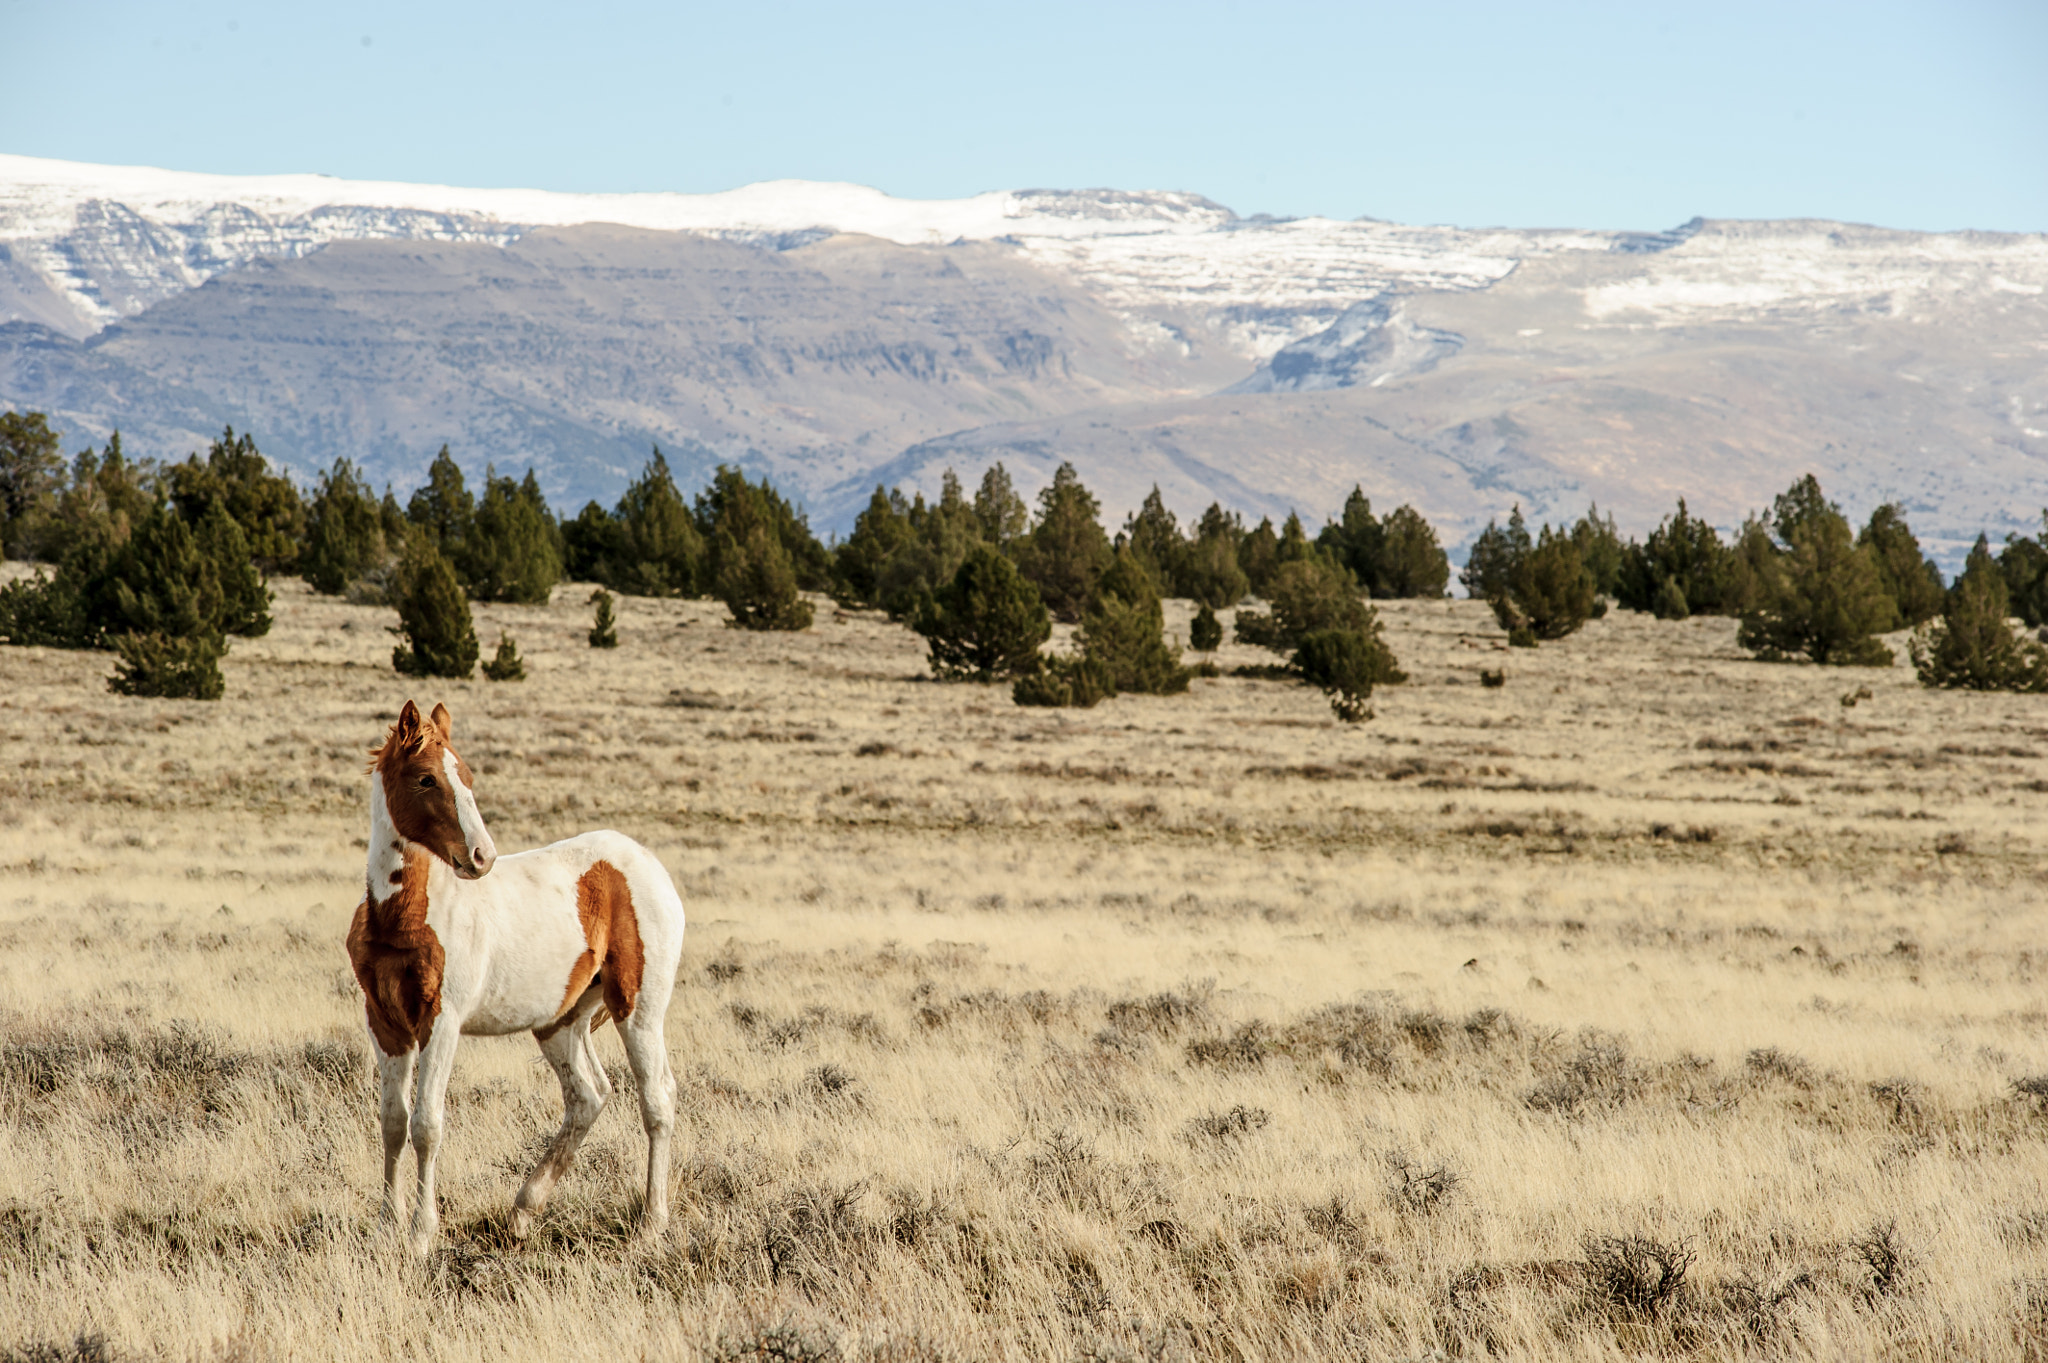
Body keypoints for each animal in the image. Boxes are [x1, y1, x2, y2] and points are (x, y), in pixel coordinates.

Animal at [339, 699, 684, 1252]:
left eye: (468, 776)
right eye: (426, 779)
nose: (482, 857)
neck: (404, 916)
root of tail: (648, 863)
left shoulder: (442, 1022)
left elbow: (427, 1124)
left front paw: (421, 1233)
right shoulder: (385, 1023)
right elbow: (393, 1122)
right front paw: (385, 1226)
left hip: (638, 1011)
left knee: (657, 1100)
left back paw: (652, 1223)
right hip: (561, 1022)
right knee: (588, 1096)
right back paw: (523, 1211)